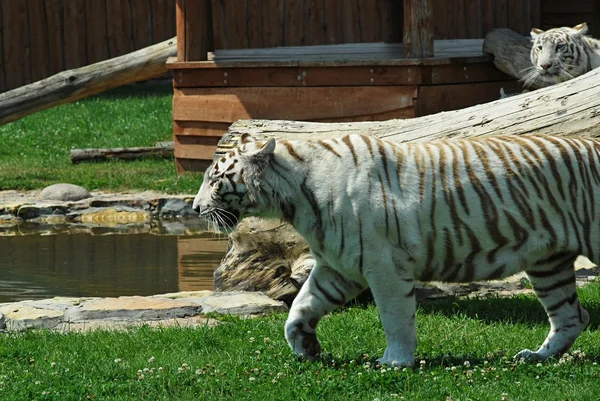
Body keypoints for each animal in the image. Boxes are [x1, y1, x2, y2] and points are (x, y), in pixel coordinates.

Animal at [193, 134, 600, 366]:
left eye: (215, 179)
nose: (195, 209)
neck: (295, 197)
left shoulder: (383, 264)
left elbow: (394, 317)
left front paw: (394, 361)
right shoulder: (338, 265)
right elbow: (300, 307)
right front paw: (307, 348)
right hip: (548, 262)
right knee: (571, 316)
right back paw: (535, 358)